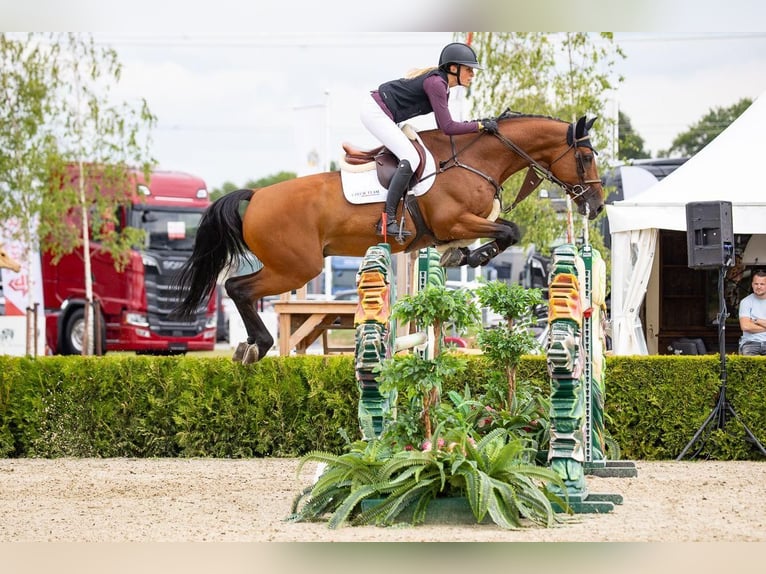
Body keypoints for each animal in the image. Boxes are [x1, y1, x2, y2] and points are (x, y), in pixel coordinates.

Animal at [174, 112, 608, 364]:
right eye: (586, 157)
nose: (597, 205)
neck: (474, 160)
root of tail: (256, 196)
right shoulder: (455, 221)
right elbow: (508, 231)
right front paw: (470, 257)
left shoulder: (458, 226)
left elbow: (504, 231)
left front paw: (458, 257)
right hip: (297, 267)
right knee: (238, 287)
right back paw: (256, 346)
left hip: (290, 266)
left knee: (239, 288)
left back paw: (249, 345)